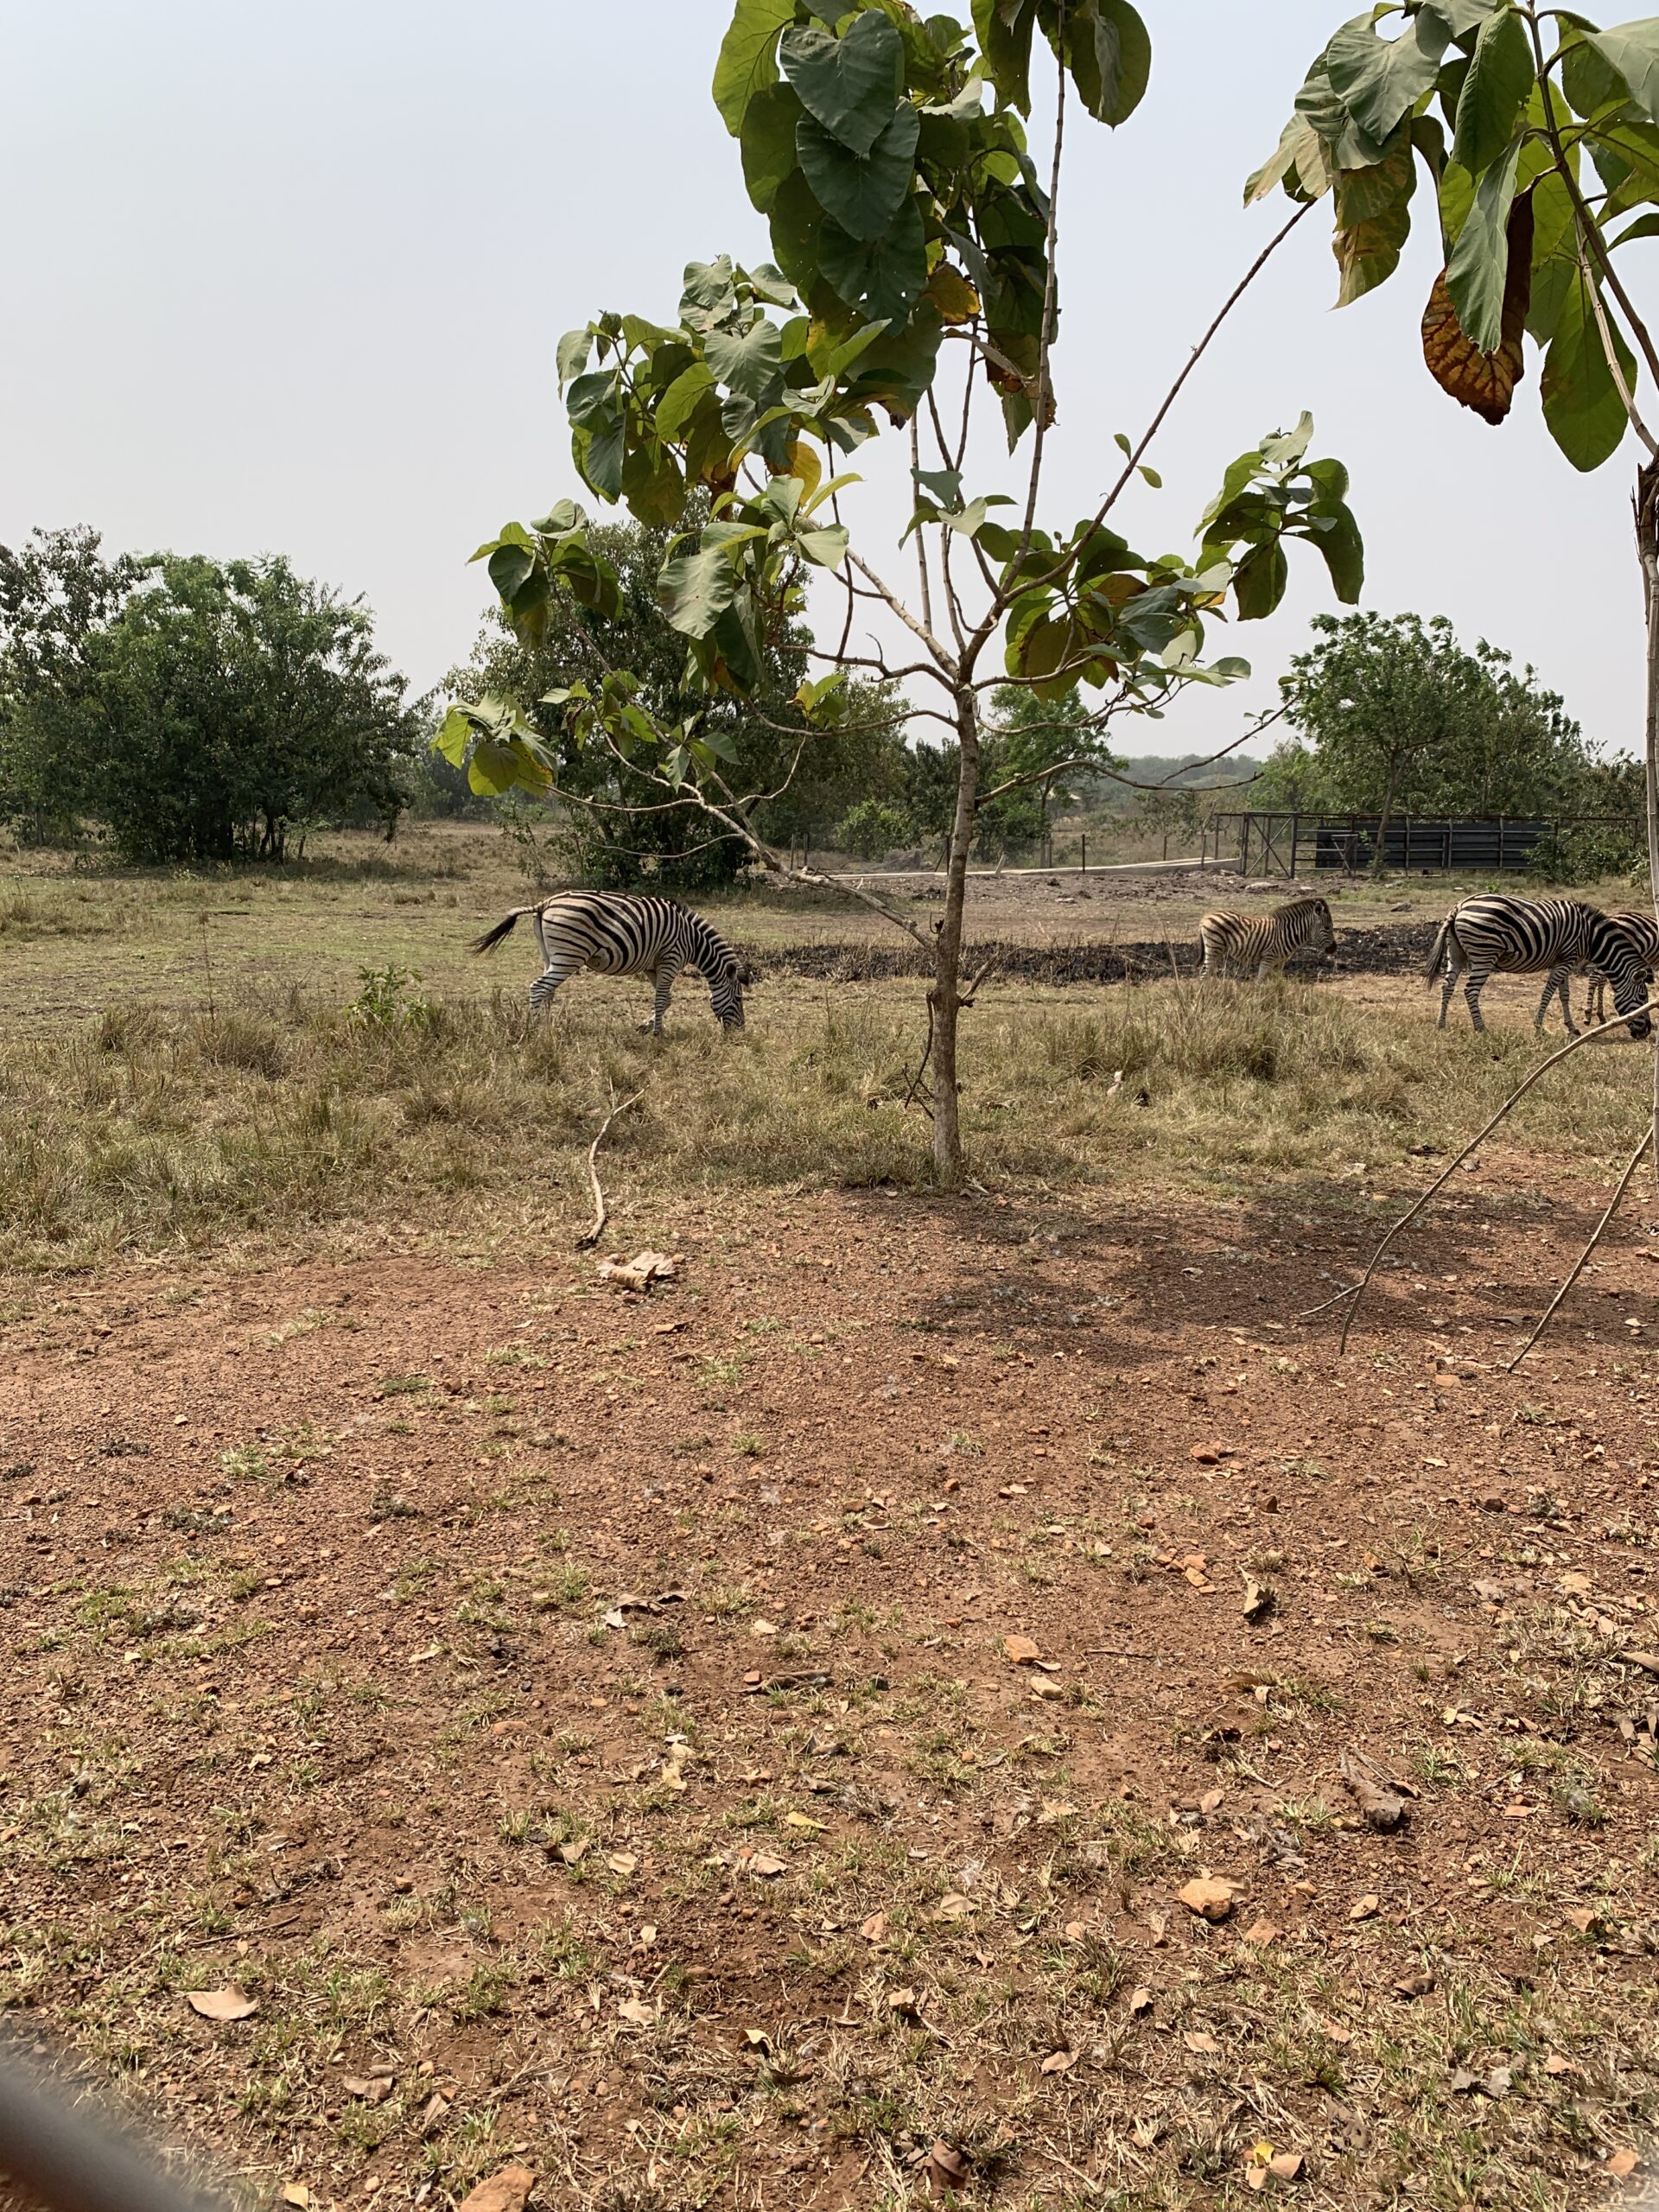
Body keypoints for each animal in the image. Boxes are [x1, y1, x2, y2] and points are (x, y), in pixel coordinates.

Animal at [473, 889, 760, 1035]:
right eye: (739, 999)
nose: (740, 1032)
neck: (693, 940)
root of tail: (546, 903)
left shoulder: (653, 965)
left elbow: (666, 999)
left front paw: (646, 1026)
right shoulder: (671, 958)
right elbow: (661, 999)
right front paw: (658, 1034)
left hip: (551, 956)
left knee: (548, 991)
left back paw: (548, 1028)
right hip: (570, 955)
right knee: (538, 988)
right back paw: (535, 1031)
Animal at [1194, 893, 1336, 982]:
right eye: (1327, 927)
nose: (1333, 949)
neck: (1287, 932)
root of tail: (1206, 918)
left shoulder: (1280, 962)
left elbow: (1277, 982)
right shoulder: (1268, 958)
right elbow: (1260, 981)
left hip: (1218, 950)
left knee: (1207, 972)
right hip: (1214, 948)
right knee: (1204, 973)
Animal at [1424, 893, 1654, 1039]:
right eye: (1643, 997)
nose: (1647, 1032)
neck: (1590, 937)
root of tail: (1460, 906)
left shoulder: (1565, 960)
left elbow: (1564, 994)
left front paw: (1572, 1028)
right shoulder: (1566, 959)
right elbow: (1549, 992)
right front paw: (1539, 1027)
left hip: (1456, 954)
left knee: (1447, 986)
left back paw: (1441, 1024)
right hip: (1484, 954)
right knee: (1470, 990)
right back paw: (1481, 1028)